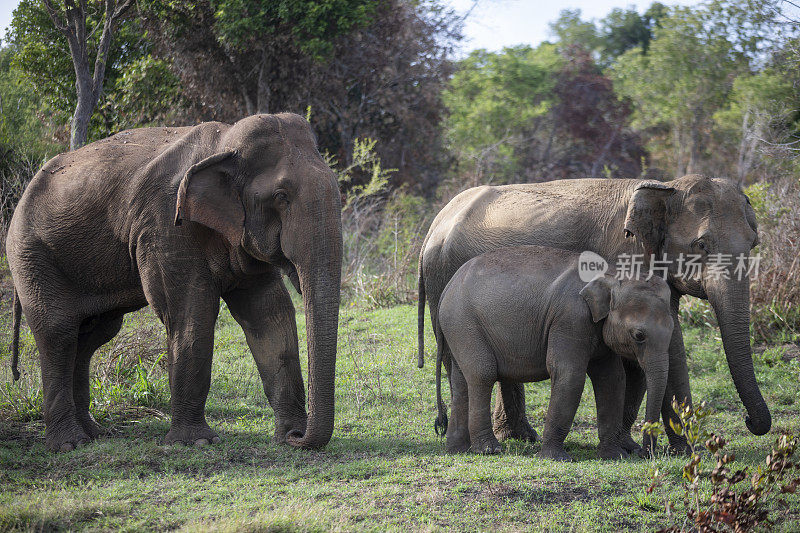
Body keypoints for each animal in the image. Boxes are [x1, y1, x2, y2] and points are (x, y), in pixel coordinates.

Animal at [440, 245, 672, 458]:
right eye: (639, 335)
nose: (644, 453)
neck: (611, 274)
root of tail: (448, 286)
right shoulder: (571, 317)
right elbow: (569, 374)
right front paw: (555, 457)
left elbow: (612, 378)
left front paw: (614, 455)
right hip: (464, 323)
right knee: (483, 374)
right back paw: (489, 449)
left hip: (458, 328)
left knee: (461, 380)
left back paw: (458, 449)